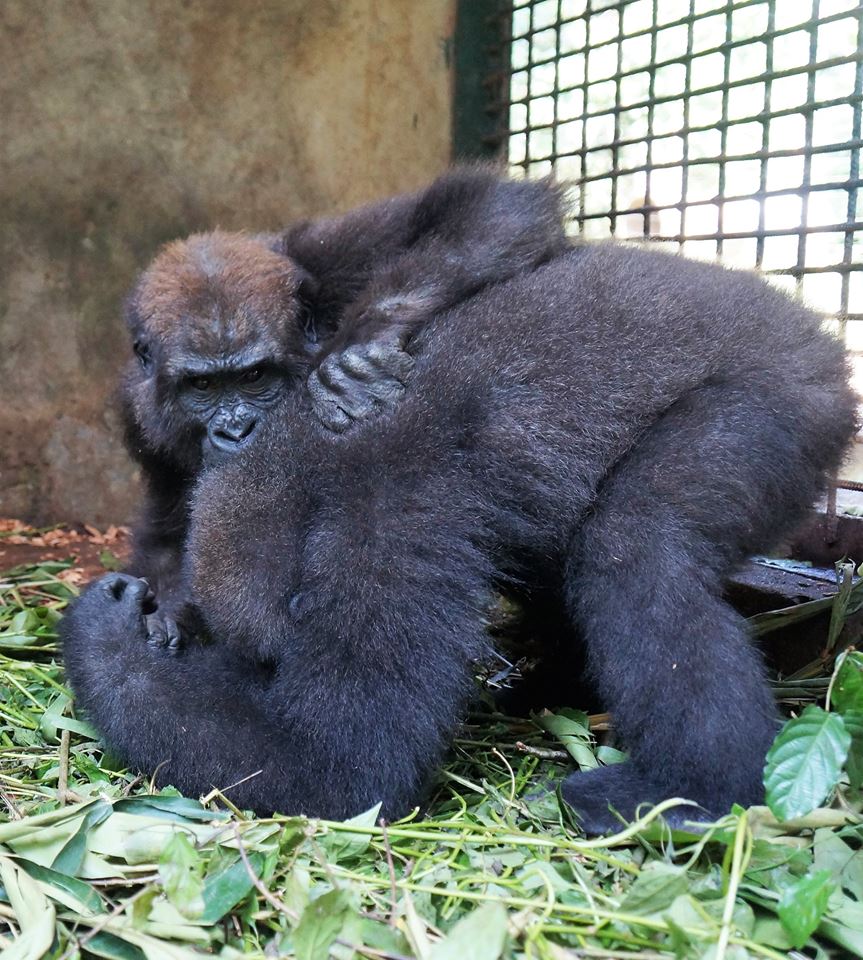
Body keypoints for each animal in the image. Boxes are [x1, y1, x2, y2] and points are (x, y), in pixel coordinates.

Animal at [62, 230, 856, 835]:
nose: (228, 431)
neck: (294, 459)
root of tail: (813, 332)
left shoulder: (387, 515)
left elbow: (344, 769)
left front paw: (104, 632)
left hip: (784, 399)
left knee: (637, 543)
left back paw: (701, 789)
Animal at [119, 167, 569, 644]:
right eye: (202, 385)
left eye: (254, 376)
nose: (236, 430)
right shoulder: (136, 408)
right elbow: (167, 524)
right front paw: (163, 607)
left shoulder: (331, 259)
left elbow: (492, 206)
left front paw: (362, 340)